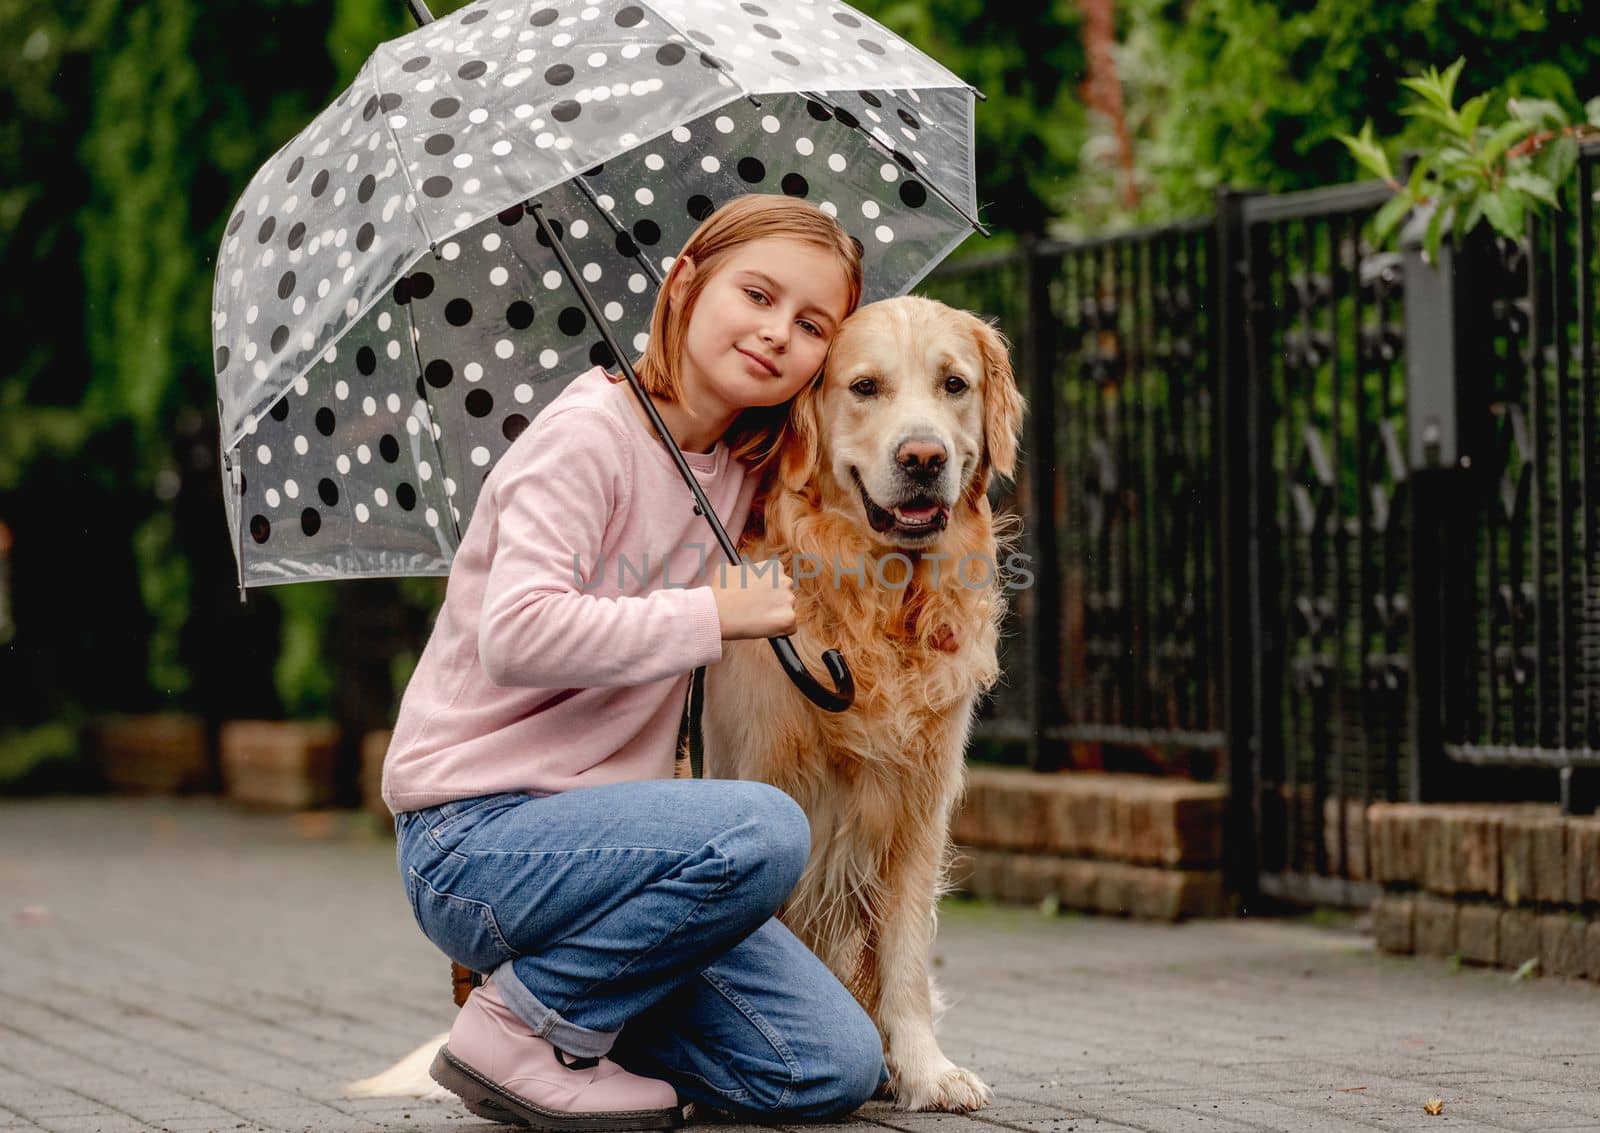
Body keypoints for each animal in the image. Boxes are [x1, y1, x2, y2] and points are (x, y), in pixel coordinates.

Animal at [704, 294, 1024, 1113]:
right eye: (864, 387)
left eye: (954, 384)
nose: (924, 458)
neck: (881, 611)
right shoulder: (764, 784)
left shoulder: (918, 806)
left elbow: (906, 957)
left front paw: (924, 1069)